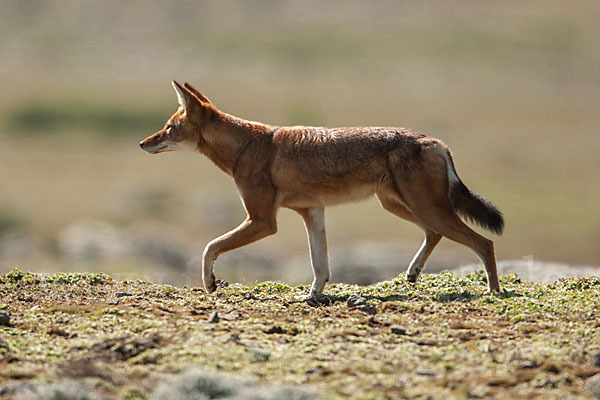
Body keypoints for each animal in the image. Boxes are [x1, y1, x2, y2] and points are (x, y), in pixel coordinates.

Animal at [139, 81, 502, 296]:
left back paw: (494, 291)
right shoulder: (312, 212)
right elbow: (321, 265)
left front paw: (210, 283)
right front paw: (314, 294)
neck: (245, 146)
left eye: (169, 127)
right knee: (435, 234)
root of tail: (437, 143)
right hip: (401, 206)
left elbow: (209, 247)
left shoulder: (263, 221)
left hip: (423, 208)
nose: (143, 143)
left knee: (483, 243)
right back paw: (412, 274)